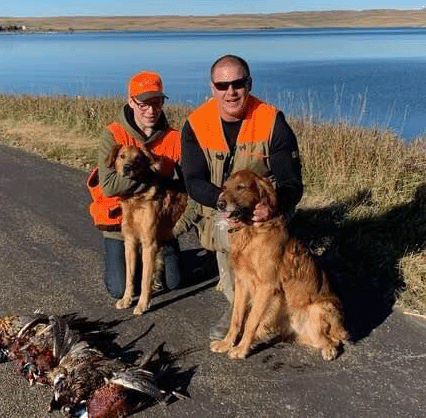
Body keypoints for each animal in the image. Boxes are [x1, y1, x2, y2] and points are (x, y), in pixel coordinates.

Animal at [106, 145, 186, 316]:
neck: (135, 199)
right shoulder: (130, 243)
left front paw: (142, 305)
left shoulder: (150, 245)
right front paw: (126, 300)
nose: (127, 167)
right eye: (122, 156)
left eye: (137, 158)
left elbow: (144, 279)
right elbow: (129, 277)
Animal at [211, 170, 348, 360]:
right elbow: (236, 318)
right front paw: (226, 343)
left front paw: (241, 349)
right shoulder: (242, 283)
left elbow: (251, 321)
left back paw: (329, 350)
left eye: (240, 187)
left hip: (318, 308)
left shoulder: (266, 287)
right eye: (224, 187)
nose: (220, 204)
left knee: (334, 340)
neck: (251, 231)